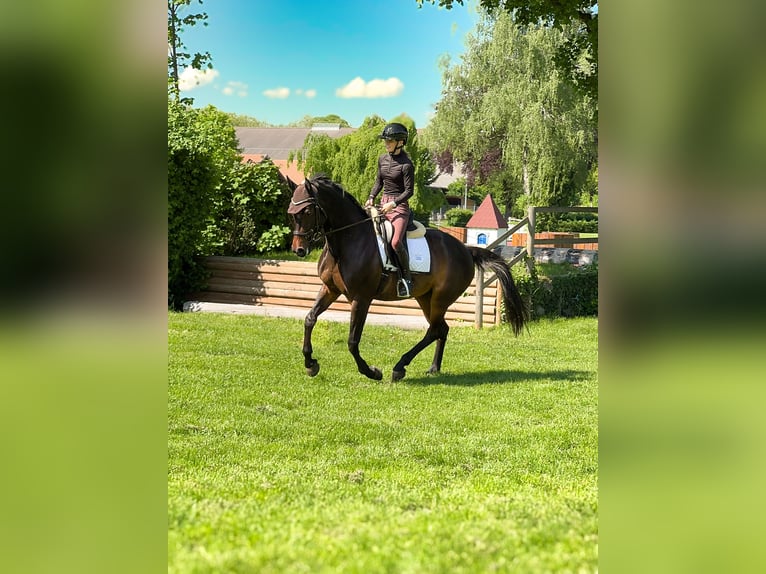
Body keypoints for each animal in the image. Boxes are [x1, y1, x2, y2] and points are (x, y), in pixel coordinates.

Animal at [287, 175, 527, 382]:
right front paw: (310, 364)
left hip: (440, 299)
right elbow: (310, 319)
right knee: (441, 329)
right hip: (425, 298)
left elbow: (352, 341)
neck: (347, 241)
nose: (299, 250)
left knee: (434, 330)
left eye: (306, 211)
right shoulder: (330, 289)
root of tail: (466, 250)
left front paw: (372, 372)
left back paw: (399, 366)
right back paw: (433, 367)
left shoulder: (361, 298)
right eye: (291, 213)